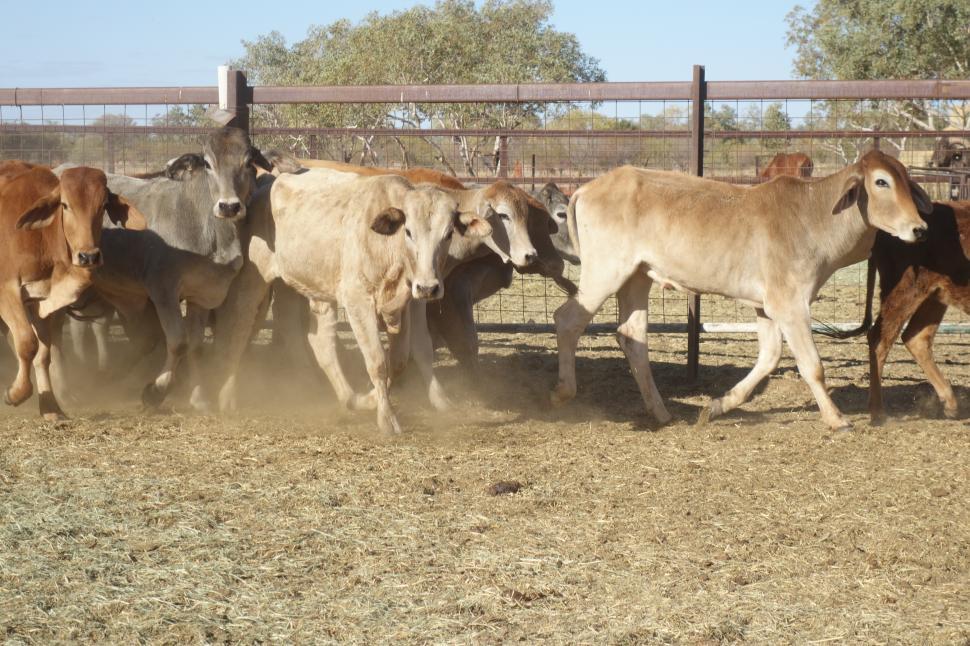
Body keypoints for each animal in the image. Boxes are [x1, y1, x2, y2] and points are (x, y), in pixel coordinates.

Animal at [0, 162, 145, 419]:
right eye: (65, 205)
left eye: (103, 205)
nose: (88, 256)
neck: (41, 236)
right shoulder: (7, 290)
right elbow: (27, 343)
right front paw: (16, 394)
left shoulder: (41, 302)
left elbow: (42, 354)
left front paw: (50, 407)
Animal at [62, 127, 274, 409]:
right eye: (208, 163)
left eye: (248, 162)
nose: (229, 206)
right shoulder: (163, 291)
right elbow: (178, 342)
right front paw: (155, 390)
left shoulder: (203, 294)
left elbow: (195, 345)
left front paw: (199, 398)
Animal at [206, 169, 491, 434]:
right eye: (409, 231)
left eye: (448, 234)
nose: (428, 287)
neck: (387, 246)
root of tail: (267, 184)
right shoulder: (358, 300)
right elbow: (377, 361)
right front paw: (386, 419)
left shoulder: (406, 304)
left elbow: (398, 361)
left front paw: (373, 398)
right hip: (252, 281)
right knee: (239, 327)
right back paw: (226, 395)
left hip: (306, 287)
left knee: (317, 340)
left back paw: (351, 399)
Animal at [552, 150, 932, 431]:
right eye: (881, 181)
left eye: (905, 178)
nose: (919, 228)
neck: (813, 215)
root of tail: (588, 188)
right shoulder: (790, 305)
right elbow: (812, 365)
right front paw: (837, 419)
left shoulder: (765, 307)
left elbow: (769, 357)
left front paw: (717, 406)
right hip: (605, 271)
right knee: (567, 319)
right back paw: (564, 392)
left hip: (637, 276)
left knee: (631, 335)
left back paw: (661, 412)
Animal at [834, 200, 969, 423]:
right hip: (905, 291)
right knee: (880, 338)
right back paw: (878, 412)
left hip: (934, 295)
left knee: (916, 338)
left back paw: (951, 405)